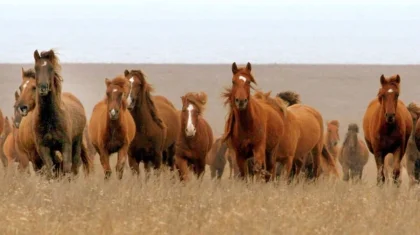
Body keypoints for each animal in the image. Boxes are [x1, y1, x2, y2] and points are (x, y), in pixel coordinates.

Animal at [30, 49, 92, 178]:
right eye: (36, 68)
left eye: (51, 68)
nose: (43, 87)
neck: (49, 119)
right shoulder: (43, 148)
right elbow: (51, 170)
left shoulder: (66, 144)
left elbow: (67, 168)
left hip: (77, 142)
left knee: (74, 166)